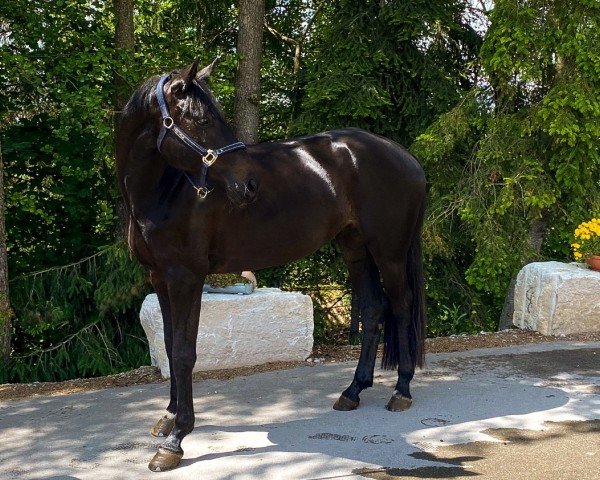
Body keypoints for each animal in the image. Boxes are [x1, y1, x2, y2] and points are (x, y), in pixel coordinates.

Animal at [116, 60, 426, 472]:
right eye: (202, 120)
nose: (249, 184)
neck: (166, 192)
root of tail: (404, 156)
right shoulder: (160, 277)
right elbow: (168, 345)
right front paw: (167, 417)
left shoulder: (186, 278)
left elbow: (184, 353)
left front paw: (176, 439)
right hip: (355, 249)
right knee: (375, 309)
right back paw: (353, 391)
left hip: (389, 251)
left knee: (402, 306)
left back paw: (402, 390)